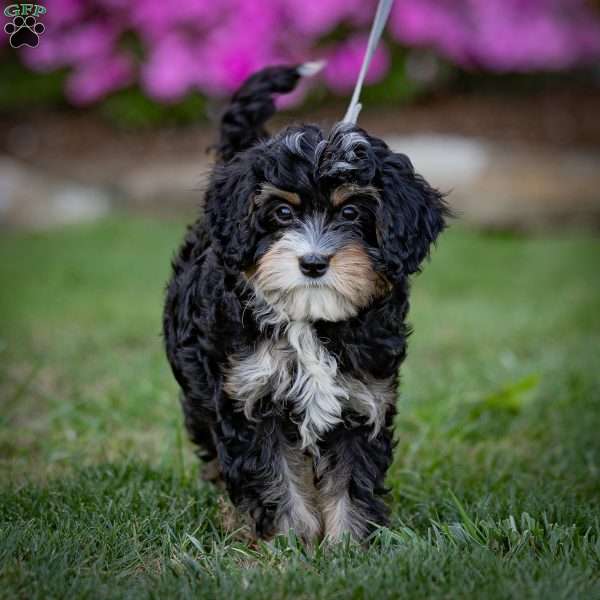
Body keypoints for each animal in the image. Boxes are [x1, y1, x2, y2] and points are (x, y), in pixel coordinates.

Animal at [162, 63, 448, 540]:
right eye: (282, 213)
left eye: (351, 212)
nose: (313, 262)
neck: (310, 319)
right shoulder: (249, 397)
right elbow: (276, 479)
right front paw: (289, 542)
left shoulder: (362, 399)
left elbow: (351, 482)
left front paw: (348, 544)